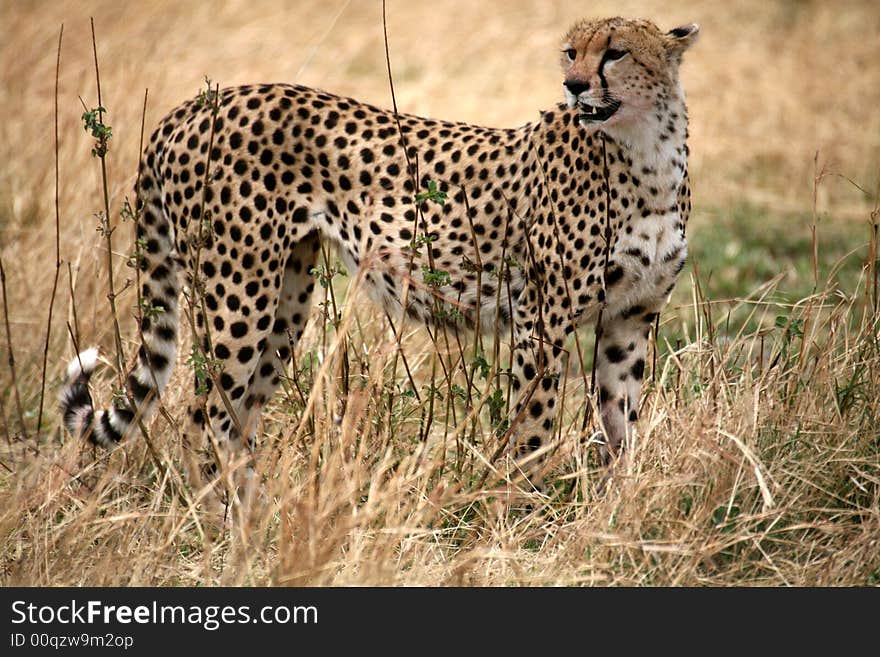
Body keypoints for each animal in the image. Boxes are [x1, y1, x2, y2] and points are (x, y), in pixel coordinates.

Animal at [58, 16, 696, 476]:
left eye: (615, 52)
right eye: (570, 52)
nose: (573, 86)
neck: (647, 154)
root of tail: (194, 105)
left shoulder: (630, 319)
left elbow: (620, 424)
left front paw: (614, 508)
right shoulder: (545, 318)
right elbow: (533, 426)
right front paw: (525, 512)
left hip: (286, 297)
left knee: (238, 420)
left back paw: (256, 522)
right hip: (238, 294)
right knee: (205, 418)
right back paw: (220, 530)